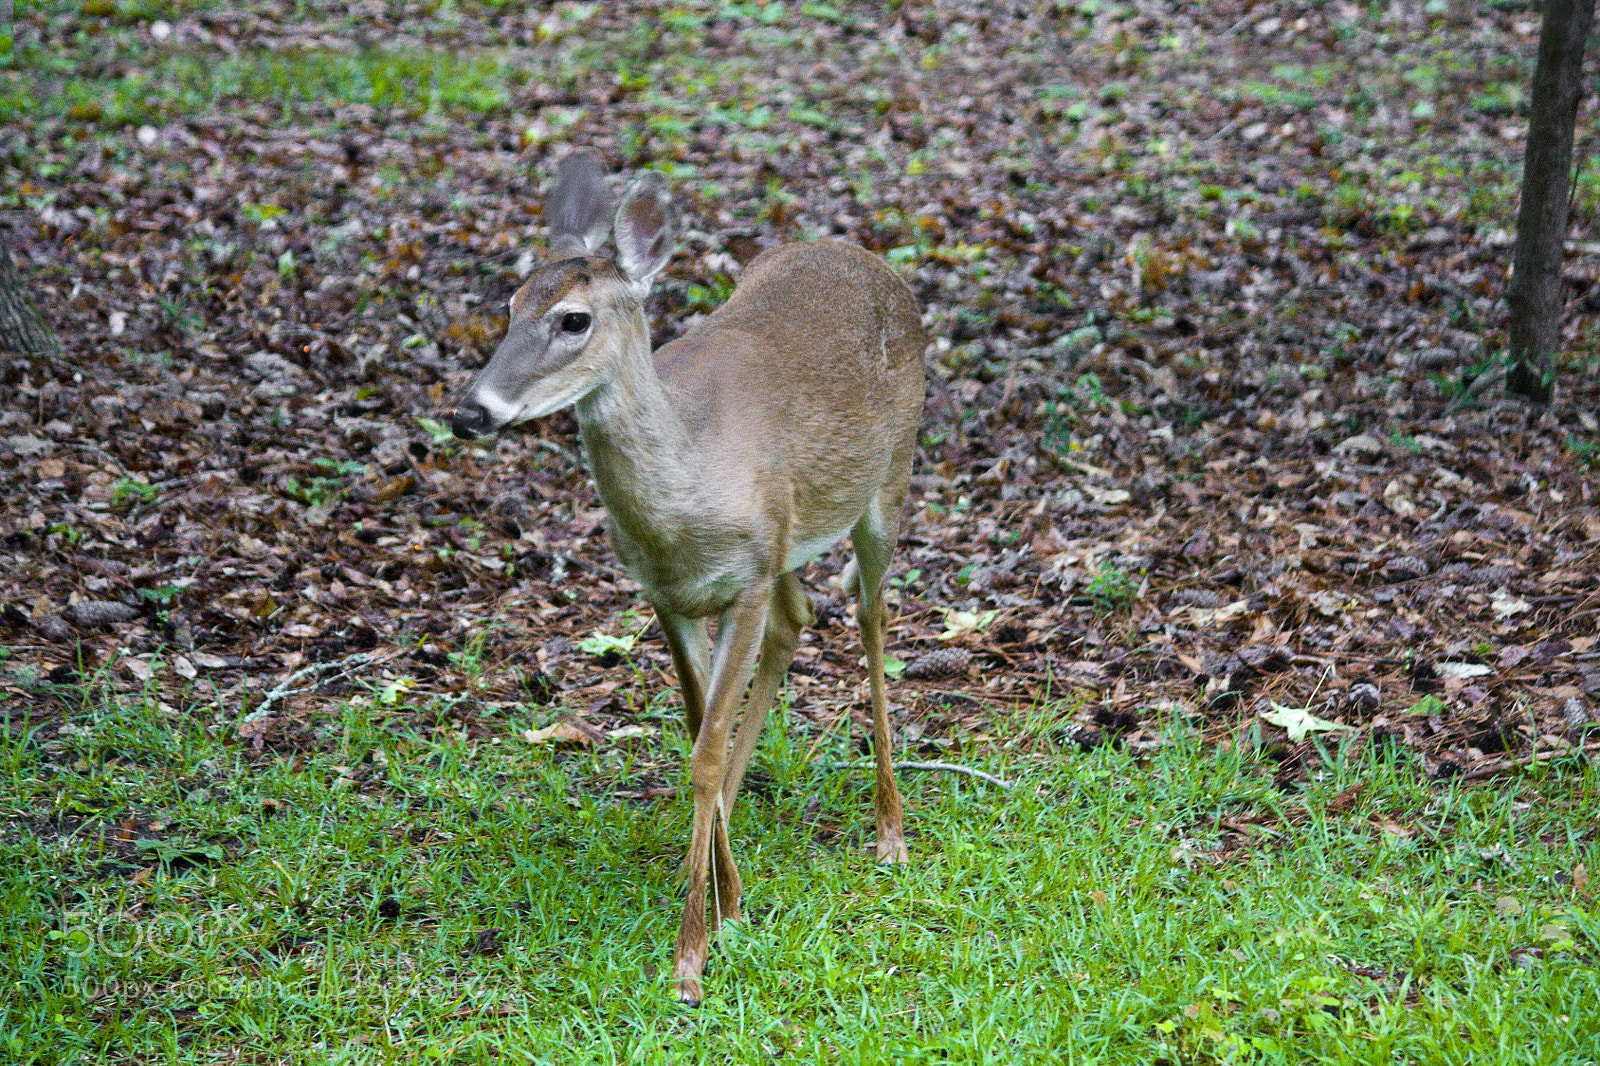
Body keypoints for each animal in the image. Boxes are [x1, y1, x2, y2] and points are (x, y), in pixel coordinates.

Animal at [449, 151, 927, 1005]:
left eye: (573, 319)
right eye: (509, 304)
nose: (471, 413)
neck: (689, 490)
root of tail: (862, 256)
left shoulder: (746, 574)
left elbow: (703, 751)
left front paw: (691, 959)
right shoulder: (671, 596)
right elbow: (701, 728)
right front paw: (728, 897)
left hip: (888, 479)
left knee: (871, 620)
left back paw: (890, 832)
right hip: (789, 539)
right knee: (799, 617)